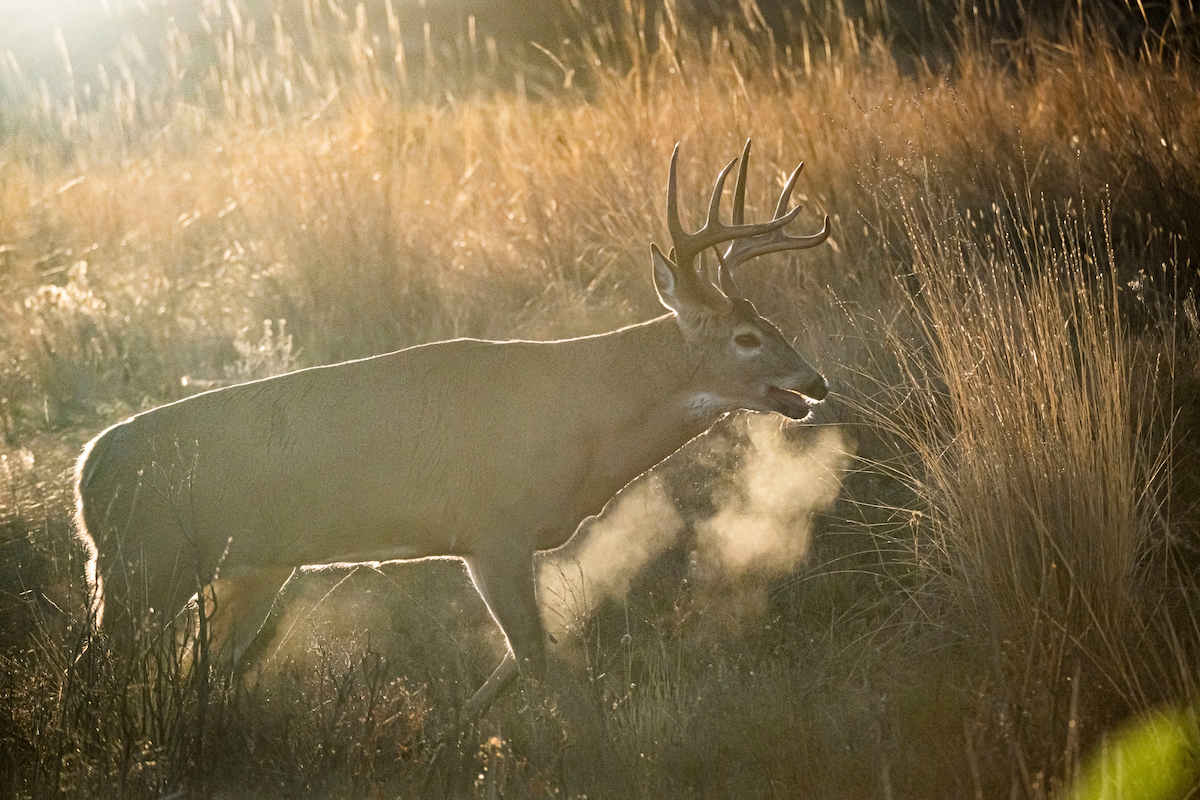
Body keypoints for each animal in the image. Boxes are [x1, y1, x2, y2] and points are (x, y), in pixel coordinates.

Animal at [73, 139, 831, 721]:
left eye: (772, 324)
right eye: (746, 338)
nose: (816, 383)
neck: (582, 416)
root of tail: (88, 469)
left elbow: (521, 657)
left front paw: (454, 733)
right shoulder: (493, 527)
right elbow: (533, 655)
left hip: (249, 567)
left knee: (199, 666)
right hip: (143, 560)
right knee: (99, 663)